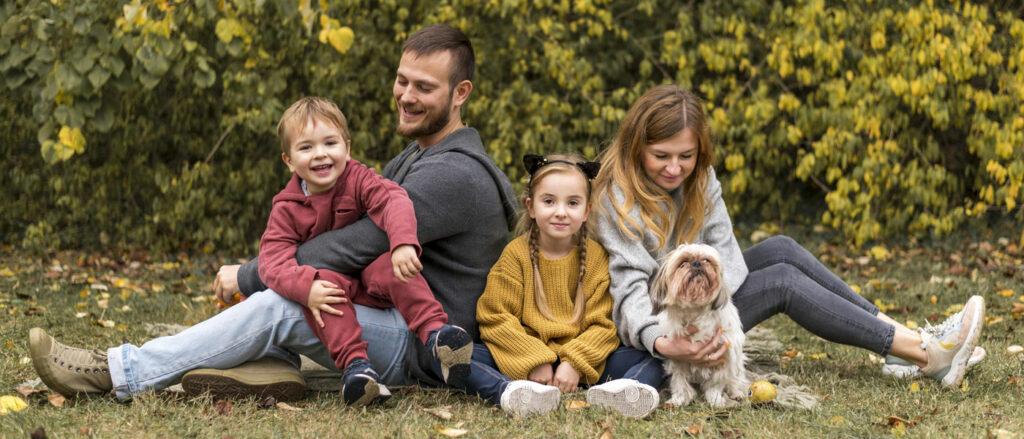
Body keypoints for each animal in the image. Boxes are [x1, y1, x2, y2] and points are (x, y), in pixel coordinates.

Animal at [651, 241, 749, 405]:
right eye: (683, 262)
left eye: (706, 260)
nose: (696, 263)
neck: (694, 311)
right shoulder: (677, 356)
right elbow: (679, 382)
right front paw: (678, 399)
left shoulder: (723, 356)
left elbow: (716, 384)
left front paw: (715, 400)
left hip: (736, 363)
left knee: (736, 378)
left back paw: (736, 392)